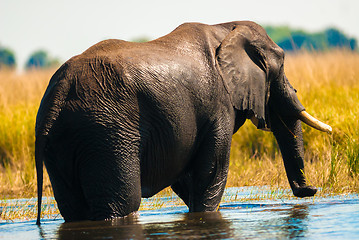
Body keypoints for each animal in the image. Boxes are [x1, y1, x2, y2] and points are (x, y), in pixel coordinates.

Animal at [35, 21, 334, 225]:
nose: (311, 190)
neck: (226, 28)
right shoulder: (219, 105)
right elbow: (210, 173)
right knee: (121, 203)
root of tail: (58, 92)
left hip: (66, 140)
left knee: (74, 208)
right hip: (106, 132)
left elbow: (187, 178)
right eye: (281, 65)